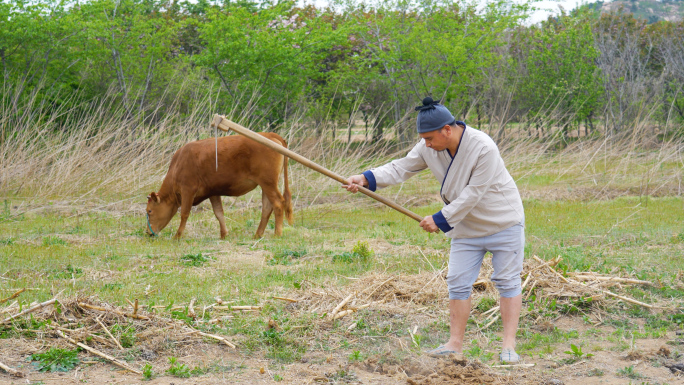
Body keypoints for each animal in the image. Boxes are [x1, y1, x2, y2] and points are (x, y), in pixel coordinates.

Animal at [144, 134, 294, 238]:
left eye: (149, 211)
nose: (148, 232)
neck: (178, 165)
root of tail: (269, 135)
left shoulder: (188, 189)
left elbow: (184, 213)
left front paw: (177, 236)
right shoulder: (212, 192)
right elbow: (219, 212)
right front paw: (223, 234)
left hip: (268, 183)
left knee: (278, 203)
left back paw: (277, 233)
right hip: (266, 185)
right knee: (267, 208)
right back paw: (257, 234)